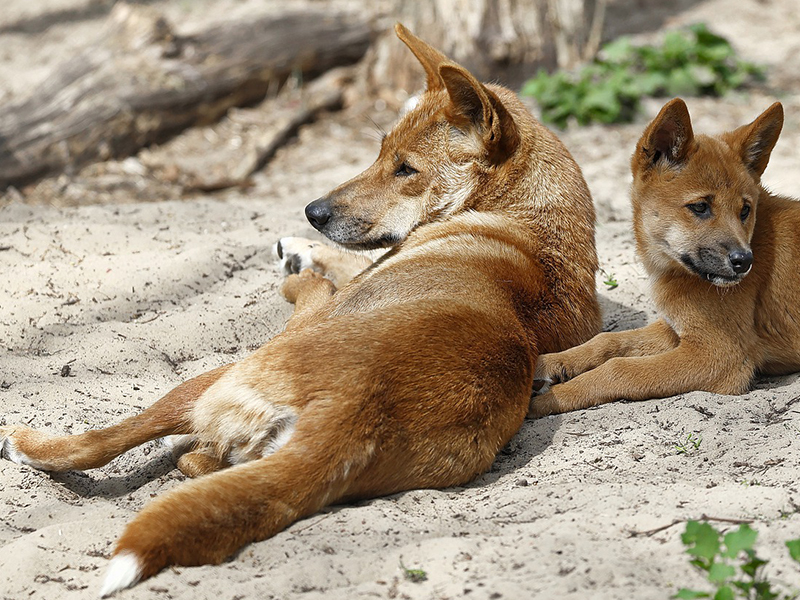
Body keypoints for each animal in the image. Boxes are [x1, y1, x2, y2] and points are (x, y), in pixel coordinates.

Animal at [0, 24, 600, 596]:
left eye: (406, 169)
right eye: (379, 152)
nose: (313, 212)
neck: (524, 223)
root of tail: (354, 416)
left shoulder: (325, 305)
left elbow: (317, 289)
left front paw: (304, 269)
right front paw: (303, 251)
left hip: (216, 375)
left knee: (102, 443)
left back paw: (33, 444)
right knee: (208, 470)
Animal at [528, 98, 796, 418]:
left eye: (745, 210)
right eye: (700, 207)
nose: (744, 261)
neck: (674, 270)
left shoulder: (717, 354)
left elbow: (619, 369)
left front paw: (555, 396)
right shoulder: (673, 328)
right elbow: (609, 340)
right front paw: (553, 362)